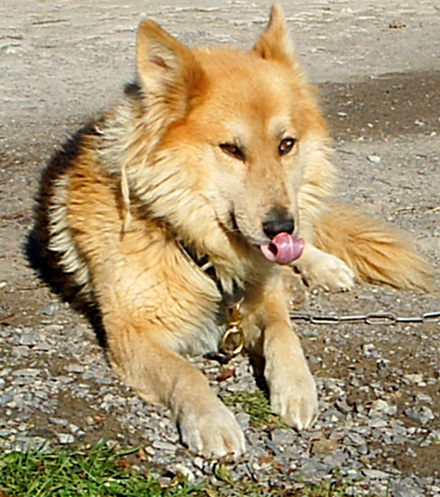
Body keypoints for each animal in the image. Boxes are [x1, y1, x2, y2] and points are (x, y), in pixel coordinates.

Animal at [36, 3, 432, 458]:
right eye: (231, 149)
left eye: (286, 144)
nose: (280, 228)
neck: (194, 245)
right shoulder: (132, 334)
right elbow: (186, 373)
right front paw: (212, 420)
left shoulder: (265, 294)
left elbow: (284, 333)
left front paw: (297, 388)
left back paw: (323, 265)